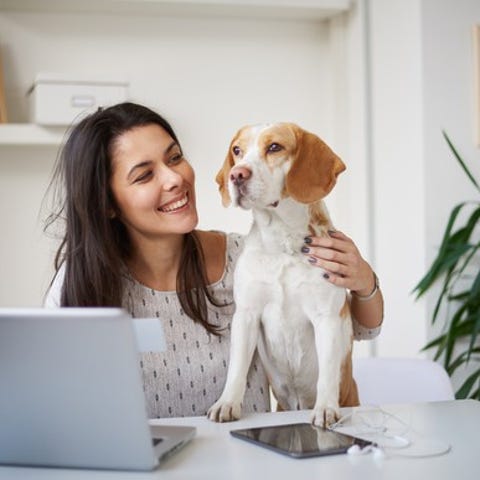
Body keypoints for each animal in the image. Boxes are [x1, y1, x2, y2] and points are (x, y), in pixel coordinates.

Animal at [208, 122, 358, 426]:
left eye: (274, 147)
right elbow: (236, 368)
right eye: (237, 150)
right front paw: (227, 403)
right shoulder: (246, 315)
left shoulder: (326, 318)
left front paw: (326, 408)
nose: (236, 174)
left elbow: (327, 373)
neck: (283, 244)